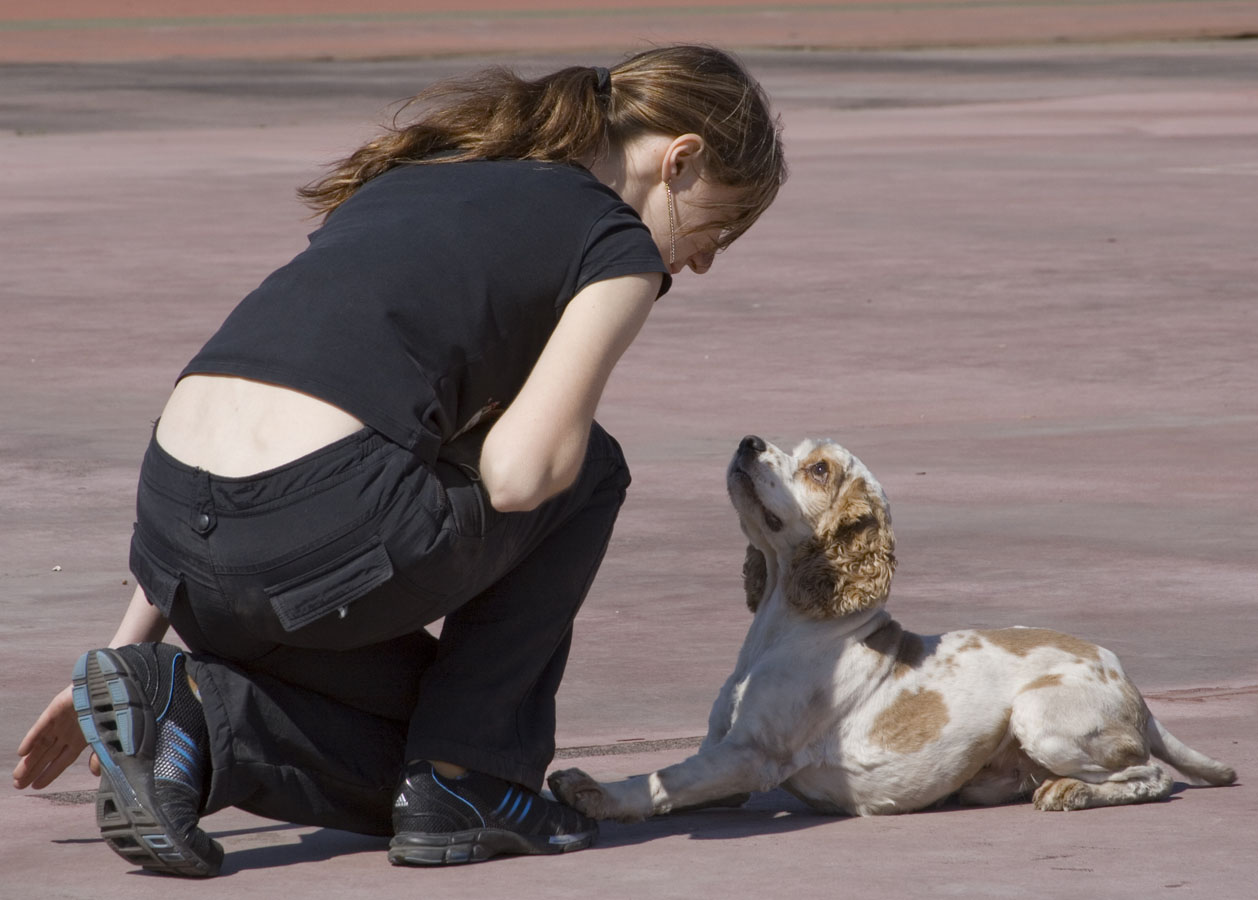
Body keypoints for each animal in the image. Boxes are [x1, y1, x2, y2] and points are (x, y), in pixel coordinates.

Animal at [553, 435, 1237, 825]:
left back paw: (1070, 792)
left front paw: (597, 794)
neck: (787, 623)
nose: (748, 440)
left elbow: (659, 784)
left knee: (1150, 777)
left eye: (820, 470)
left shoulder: (750, 756)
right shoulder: (723, 752)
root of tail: (1132, 686)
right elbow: (683, 778)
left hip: (1040, 716)